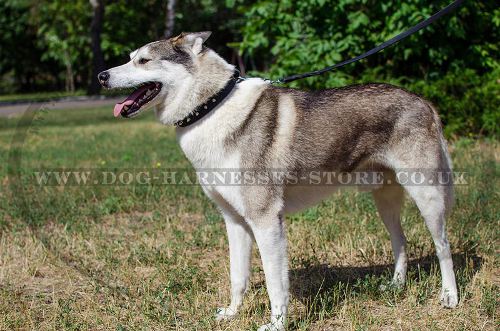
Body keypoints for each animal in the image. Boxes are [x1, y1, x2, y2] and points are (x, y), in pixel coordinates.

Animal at [97, 31, 458, 331]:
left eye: (144, 61)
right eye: (130, 57)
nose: (102, 76)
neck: (211, 107)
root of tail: (423, 101)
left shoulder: (266, 221)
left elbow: (275, 283)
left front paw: (277, 324)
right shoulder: (234, 221)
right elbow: (238, 277)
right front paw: (232, 314)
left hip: (427, 197)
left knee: (443, 247)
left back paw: (449, 297)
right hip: (384, 201)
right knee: (401, 241)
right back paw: (396, 286)